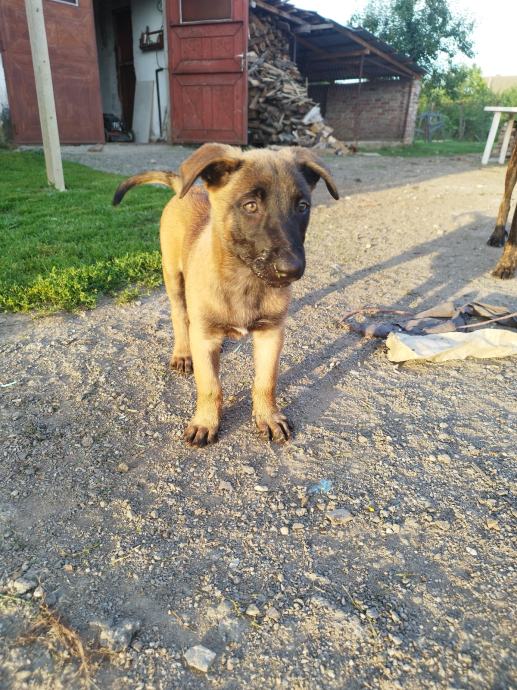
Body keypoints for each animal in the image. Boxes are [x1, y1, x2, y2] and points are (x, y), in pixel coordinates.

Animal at [113, 144, 339, 447]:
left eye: (302, 207)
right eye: (250, 205)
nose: (291, 269)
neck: (244, 280)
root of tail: (184, 189)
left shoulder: (271, 334)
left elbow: (266, 381)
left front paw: (268, 416)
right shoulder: (207, 335)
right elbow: (210, 386)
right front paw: (205, 422)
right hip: (172, 276)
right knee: (180, 316)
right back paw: (183, 352)